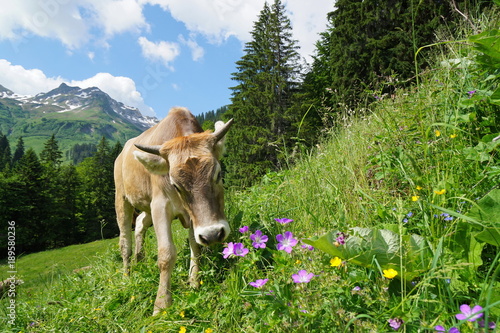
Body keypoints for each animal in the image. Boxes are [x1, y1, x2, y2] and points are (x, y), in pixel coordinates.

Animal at [114, 107, 232, 314]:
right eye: (175, 185)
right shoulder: (160, 206)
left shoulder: (192, 216)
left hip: (146, 204)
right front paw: (161, 305)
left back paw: (140, 259)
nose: (213, 234)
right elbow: (166, 254)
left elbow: (196, 244)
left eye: (218, 174)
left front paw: (193, 282)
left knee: (140, 223)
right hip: (121, 198)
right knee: (124, 242)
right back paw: (127, 275)